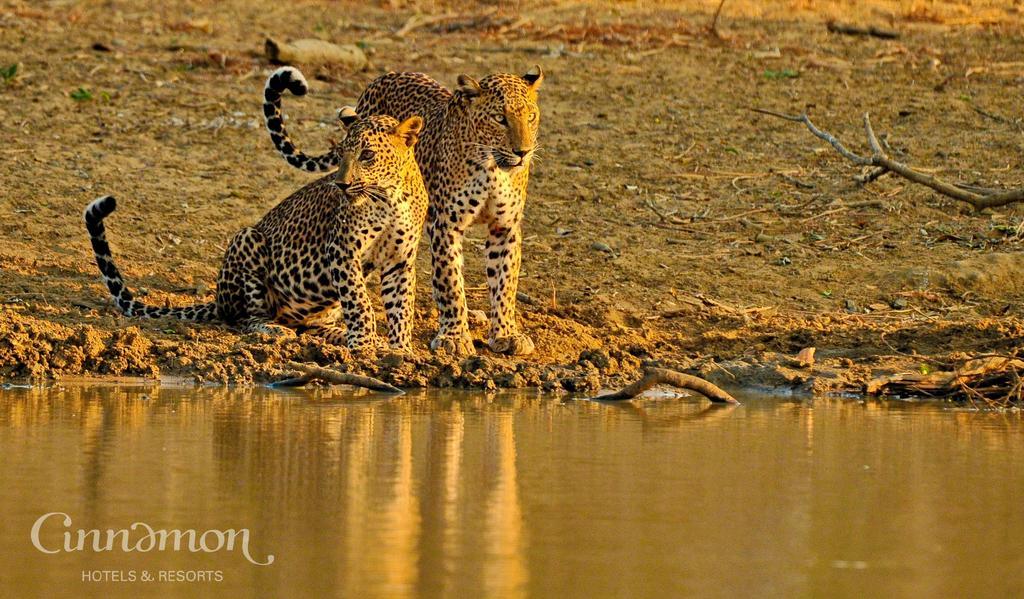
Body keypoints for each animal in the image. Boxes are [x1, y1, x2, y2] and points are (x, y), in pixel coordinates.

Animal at [81, 107, 428, 350]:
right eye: (341, 154)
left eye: (367, 155)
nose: (341, 184)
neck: (390, 196)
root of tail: (218, 299)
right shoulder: (342, 250)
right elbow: (359, 302)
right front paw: (364, 344)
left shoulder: (400, 260)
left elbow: (401, 306)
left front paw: (400, 350)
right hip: (247, 241)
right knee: (247, 319)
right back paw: (275, 329)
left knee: (310, 325)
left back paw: (338, 333)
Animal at [260, 65, 540, 354]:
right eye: (499, 118)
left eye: (531, 117)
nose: (523, 152)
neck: (494, 169)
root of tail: (382, 77)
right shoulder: (445, 225)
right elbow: (450, 280)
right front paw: (453, 337)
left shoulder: (504, 226)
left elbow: (505, 282)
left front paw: (506, 334)